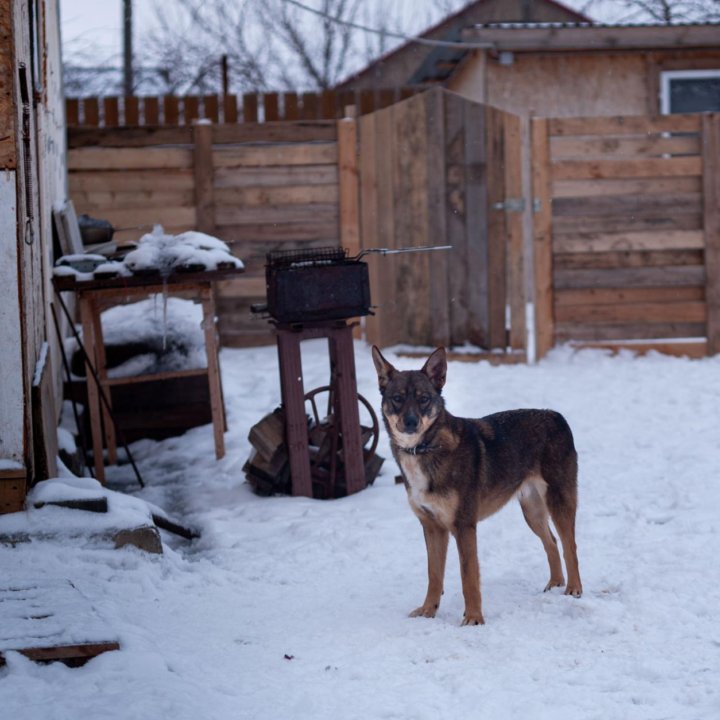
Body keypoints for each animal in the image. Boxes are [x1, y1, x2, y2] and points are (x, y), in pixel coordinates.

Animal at [374, 348, 584, 624]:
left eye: (424, 399)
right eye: (397, 398)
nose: (410, 422)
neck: (424, 449)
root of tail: (555, 415)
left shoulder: (464, 526)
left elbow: (469, 577)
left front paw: (473, 618)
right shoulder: (432, 526)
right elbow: (434, 575)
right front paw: (428, 611)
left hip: (558, 501)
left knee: (570, 545)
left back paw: (573, 589)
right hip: (532, 512)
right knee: (551, 542)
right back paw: (555, 583)